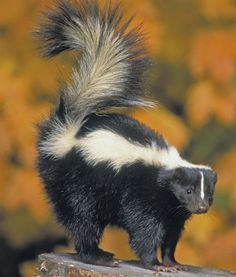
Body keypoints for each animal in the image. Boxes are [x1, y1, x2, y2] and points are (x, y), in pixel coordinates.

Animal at [35, 0, 218, 268]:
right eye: (189, 191)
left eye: (209, 192)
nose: (202, 207)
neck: (164, 175)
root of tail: (69, 130)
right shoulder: (143, 196)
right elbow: (145, 229)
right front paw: (153, 263)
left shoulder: (173, 210)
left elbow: (172, 235)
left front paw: (172, 261)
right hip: (77, 183)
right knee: (83, 219)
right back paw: (97, 255)